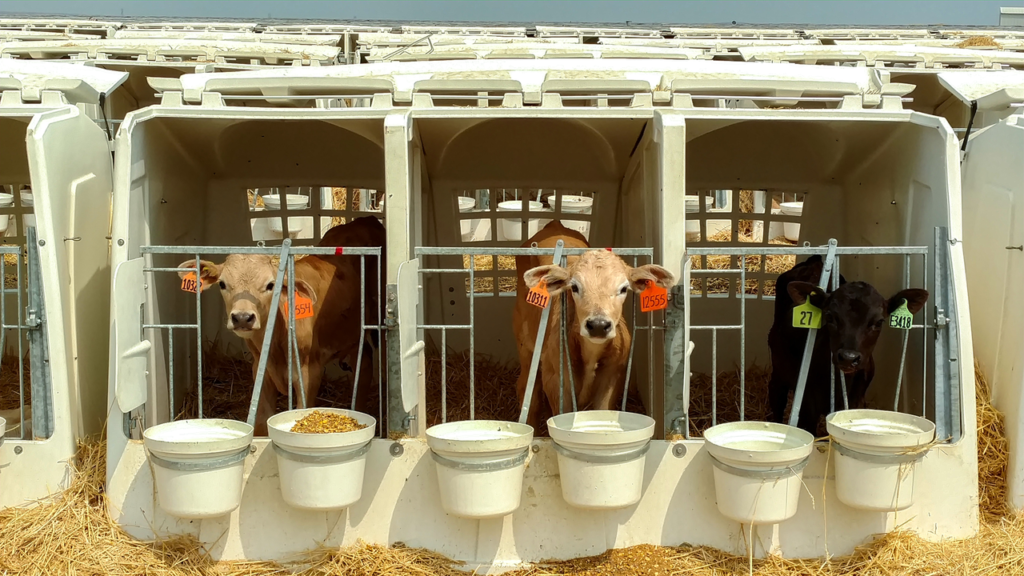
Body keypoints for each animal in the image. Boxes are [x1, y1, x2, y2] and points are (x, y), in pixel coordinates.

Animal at [178, 216, 386, 436]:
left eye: (270, 285)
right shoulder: (260, 372)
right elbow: (261, 422)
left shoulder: (309, 373)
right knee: (364, 362)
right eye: (222, 284)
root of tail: (367, 219)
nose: (242, 317)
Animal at [512, 221, 675, 429]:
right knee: (528, 392)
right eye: (574, 287)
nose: (598, 325)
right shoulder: (556, 379)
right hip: (525, 348)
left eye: (624, 288)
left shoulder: (612, 377)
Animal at [767, 255, 929, 435]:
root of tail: (814, 262)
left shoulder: (857, 402)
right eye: (829, 316)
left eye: (879, 322)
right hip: (779, 368)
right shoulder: (807, 407)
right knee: (777, 397)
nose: (848, 358)